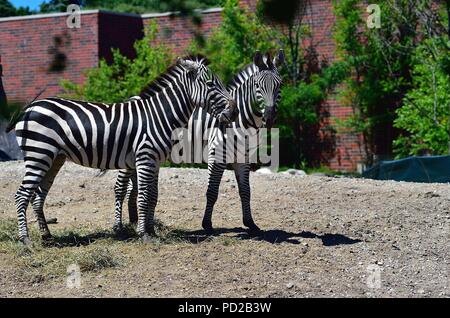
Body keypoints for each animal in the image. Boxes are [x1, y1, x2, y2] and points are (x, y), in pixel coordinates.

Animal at [8, 56, 237, 243]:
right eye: (210, 84)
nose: (234, 112)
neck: (160, 115)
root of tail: (29, 108)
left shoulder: (155, 161)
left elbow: (153, 196)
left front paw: (151, 230)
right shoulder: (145, 158)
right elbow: (143, 196)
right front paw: (143, 234)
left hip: (54, 158)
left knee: (38, 195)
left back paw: (46, 235)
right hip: (39, 154)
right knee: (21, 195)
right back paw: (25, 239)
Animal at [114, 50, 284, 234]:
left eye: (280, 85)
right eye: (258, 86)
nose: (269, 118)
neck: (242, 122)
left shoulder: (243, 159)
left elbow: (246, 191)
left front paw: (250, 223)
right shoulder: (216, 156)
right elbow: (212, 191)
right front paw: (207, 224)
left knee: (133, 188)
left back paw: (134, 221)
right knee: (121, 187)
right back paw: (119, 226)